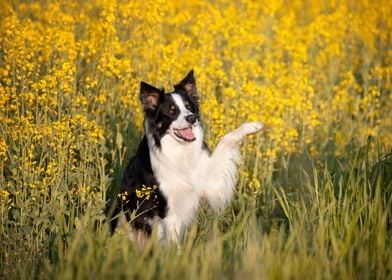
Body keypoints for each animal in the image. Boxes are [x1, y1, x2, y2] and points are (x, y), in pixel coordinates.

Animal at [109, 70, 264, 247]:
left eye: (189, 107)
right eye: (171, 112)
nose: (192, 117)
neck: (180, 151)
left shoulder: (208, 181)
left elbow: (225, 140)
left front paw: (252, 126)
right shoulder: (168, 212)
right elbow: (173, 244)